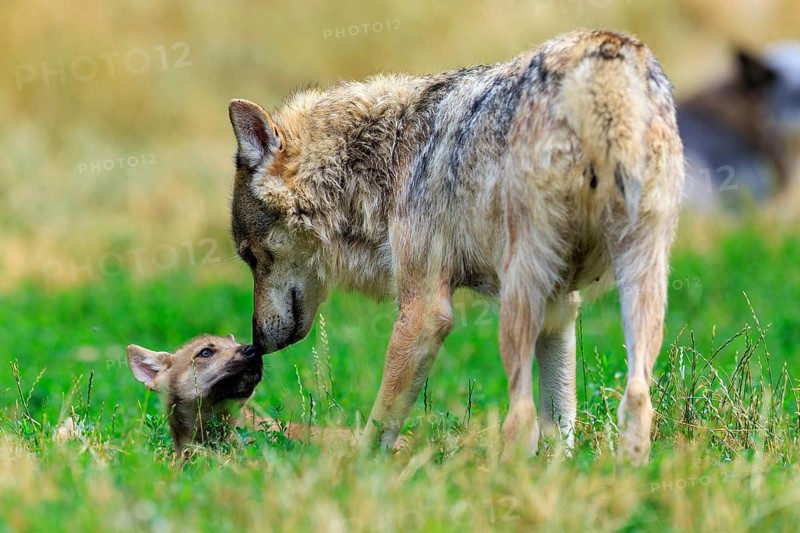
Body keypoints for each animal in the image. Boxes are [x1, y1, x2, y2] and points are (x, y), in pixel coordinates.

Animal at [228, 30, 684, 464]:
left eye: (250, 256)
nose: (256, 343)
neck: (384, 154)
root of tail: (606, 57)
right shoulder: (561, 309)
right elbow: (560, 424)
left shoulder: (425, 311)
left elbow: (378, 426)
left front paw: (357, 473)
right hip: (639, 283)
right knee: (637, 398)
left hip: (519, 298)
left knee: (521, 417)